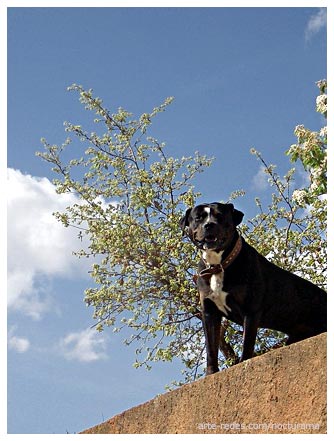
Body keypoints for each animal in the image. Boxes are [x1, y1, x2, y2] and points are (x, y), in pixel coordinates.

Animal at [180, 201, 326, 372]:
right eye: (198, 217)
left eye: (220, 216)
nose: (209, 225)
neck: (218, 265)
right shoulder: (210, 313)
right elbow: (211, 348)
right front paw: (211, 373)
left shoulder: (250, 310)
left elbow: (247, 344)